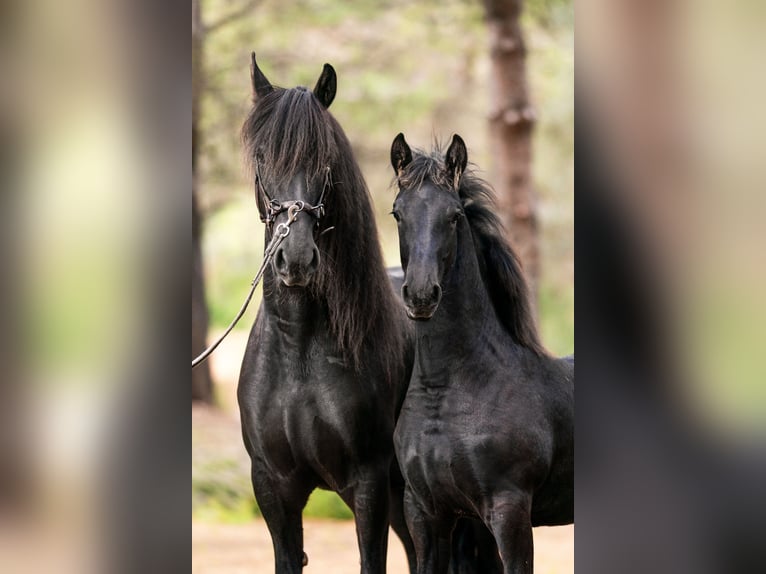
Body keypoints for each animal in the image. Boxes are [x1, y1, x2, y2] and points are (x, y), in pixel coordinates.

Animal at [237, 54, 417, 574]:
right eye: (263, 157)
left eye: (325, 161)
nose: (295, 260)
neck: (299, 352)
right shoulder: (273, 489)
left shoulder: (369, 485)